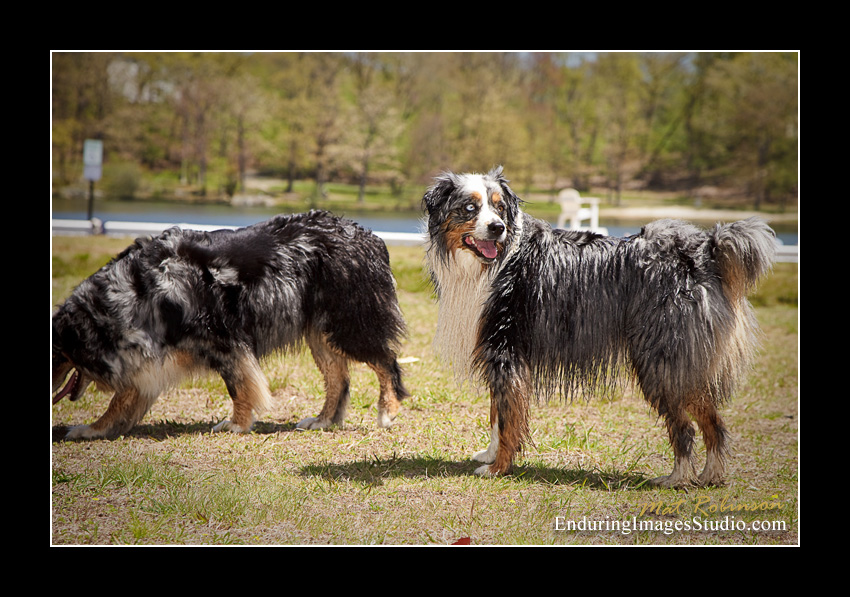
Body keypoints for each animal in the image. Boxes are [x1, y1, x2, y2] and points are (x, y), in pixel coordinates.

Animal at [52, 210, 408, 438]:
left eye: (57, 355)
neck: (138, 291)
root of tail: (370, 237)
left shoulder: (223, 340)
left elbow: (239, 386)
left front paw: (237, 424)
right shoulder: (149, 361)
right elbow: (120, 403)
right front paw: (92, 429)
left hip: (350, 325)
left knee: (386, 361)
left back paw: (387, 411)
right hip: (321, 334)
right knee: (339, 379)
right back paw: (323, 421)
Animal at [420, 165, 772, 486]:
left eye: (500, 208)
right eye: (470, 207)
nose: (497, 228)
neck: (492, 263)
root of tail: (705, 252)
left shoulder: (506, 347)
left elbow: (508, 418)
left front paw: (498, 468)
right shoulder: (501, 350)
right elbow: (497, 413)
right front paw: (490, 455)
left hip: (661, 360)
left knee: (684, 427)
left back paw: (678, 478)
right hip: (687, 362)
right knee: (713, 421)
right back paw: (711, 475)